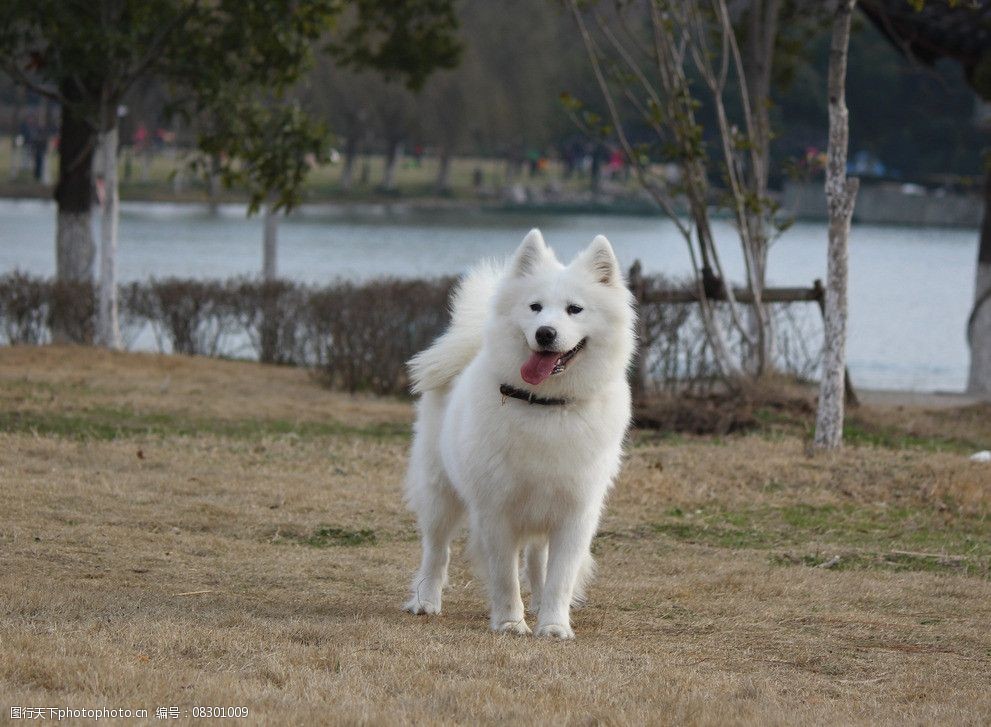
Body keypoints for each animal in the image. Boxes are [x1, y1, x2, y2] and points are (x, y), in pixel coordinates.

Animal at [402, 228, 636, 636]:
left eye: (575, 309)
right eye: (535, 307)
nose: (545, 333)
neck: (545, 405)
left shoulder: (575, 512)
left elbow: (559, 576)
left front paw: (554, 625)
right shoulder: (497, 510)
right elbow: (505, 575)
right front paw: (511, 622)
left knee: (537, 560)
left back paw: (540, 605)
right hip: (439, 492)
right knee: (436, 550)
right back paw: (425, 601)